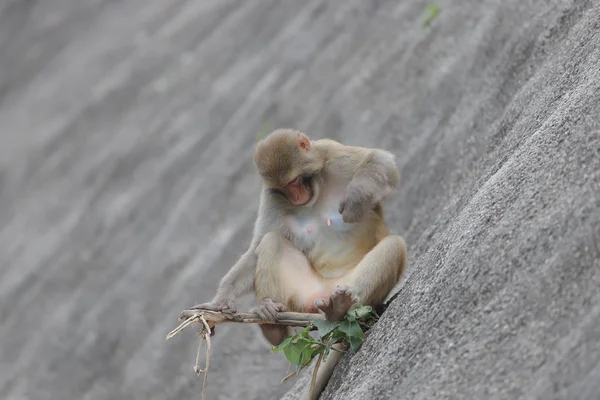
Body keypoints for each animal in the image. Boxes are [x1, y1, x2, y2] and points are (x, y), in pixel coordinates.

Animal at [191, 130, 408, 398]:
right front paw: (221, 301)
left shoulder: (330, 152)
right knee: (272, 240)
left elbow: (381, 161)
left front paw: (357, 197)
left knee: (393, 246)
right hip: (304, 299)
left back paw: (341, 309)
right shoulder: (271, 196)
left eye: (294, 181)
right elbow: (256, 248)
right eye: (283, 188)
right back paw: (271, 321)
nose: (295, 196)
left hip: (355, 291)